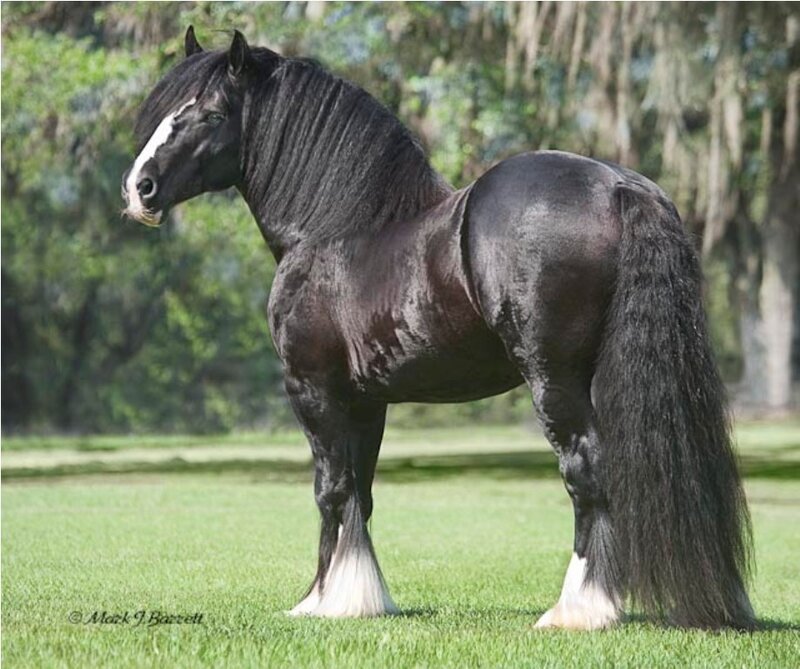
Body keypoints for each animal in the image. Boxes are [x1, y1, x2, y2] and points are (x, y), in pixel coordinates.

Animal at [122, 27, 754, 630]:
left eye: (209, 114)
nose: (139, 188)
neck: (335, 231)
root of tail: (620, 187)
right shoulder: (366, 402)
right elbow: (361, 491)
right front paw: (361, 598)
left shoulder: (313, 391)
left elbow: (330, 489)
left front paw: (322, 602)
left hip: (554, 379)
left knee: (586, 472)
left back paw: (579, 610)